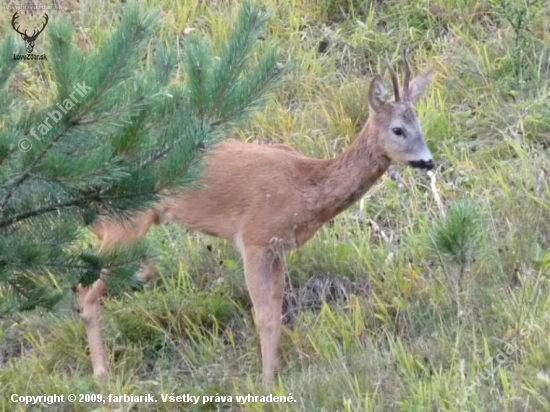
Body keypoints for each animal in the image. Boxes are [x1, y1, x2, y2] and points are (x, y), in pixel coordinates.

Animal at [81, 51, 436, 386]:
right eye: (398, 129)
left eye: (420, 125)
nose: (428, 161)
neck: (305, 187)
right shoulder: (255, 239)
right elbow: (264, 315)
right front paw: (267, 382)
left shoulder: (278, 248)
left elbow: (276, 311)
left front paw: (275, 371)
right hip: (131, 220)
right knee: (86, 293)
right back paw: (101, 373)